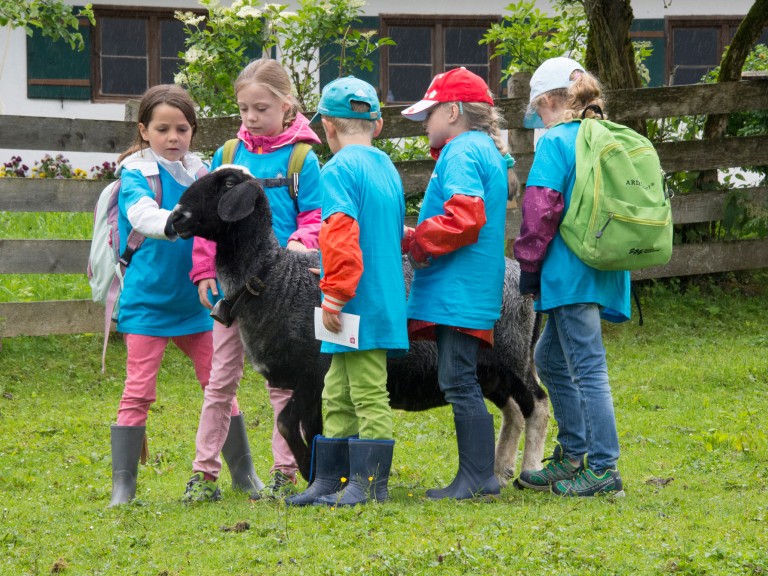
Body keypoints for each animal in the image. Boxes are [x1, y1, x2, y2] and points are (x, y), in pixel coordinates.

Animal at [171, 168, 548, 486]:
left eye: (228, 184)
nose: (176, 218)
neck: (274, 278)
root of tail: (521, 279)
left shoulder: (313, 373)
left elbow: (290, 424)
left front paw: (309, 472)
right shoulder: (307, 382)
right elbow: (310, 427)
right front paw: (318, 476)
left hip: (512, 356)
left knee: (538, 405)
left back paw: (529, 471)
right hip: (491, 370)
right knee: (514, 412)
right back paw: (499, 472)